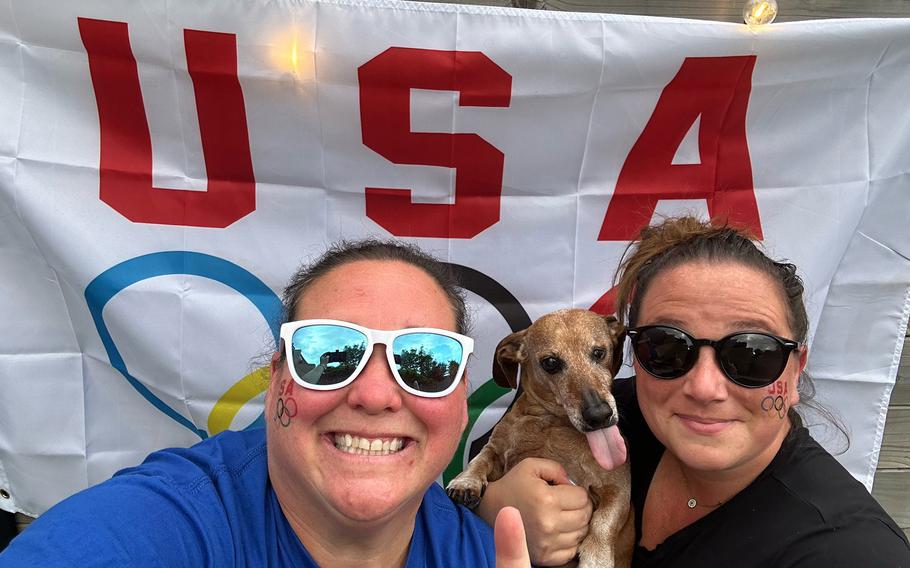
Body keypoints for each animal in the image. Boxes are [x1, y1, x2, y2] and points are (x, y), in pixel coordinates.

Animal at [448, 310, 636, 568]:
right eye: (551, 363)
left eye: (599, 352)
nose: (599, 415)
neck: (551, 423)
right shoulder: (496, 449)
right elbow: (481, 459)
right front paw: (465, 481)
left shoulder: (618, 487)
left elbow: (603, 522)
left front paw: (596, 558)